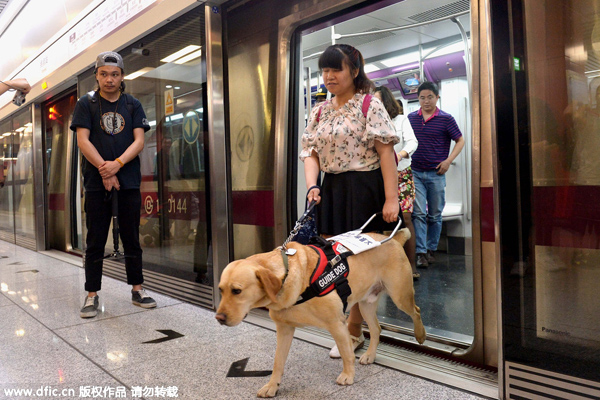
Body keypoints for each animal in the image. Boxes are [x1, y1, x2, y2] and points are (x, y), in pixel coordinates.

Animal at [213, 228, 424, 396]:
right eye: (221, 290)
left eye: (237, 291)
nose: (219, 317)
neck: (288, 278)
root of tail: (393, 239)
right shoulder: (284, 329)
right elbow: (278, 362)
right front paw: (273, 385)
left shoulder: (337, 324)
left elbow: (347, 354)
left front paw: (348, 375)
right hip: (366, 304)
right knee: (376, 329)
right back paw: (371, 355)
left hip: (400, 295)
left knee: (416, 310)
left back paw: (420, 335)